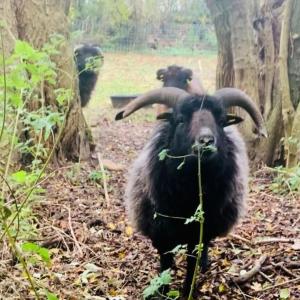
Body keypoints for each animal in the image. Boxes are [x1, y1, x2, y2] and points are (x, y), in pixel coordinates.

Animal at [115, 86, 268, 298]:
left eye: (221, 121)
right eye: (180, 119)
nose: (206, 141)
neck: (188, 199)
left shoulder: (200, 232)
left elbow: (191, 262)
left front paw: (188, 290)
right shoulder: (161, 234)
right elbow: (165, 264)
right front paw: (163, 291)